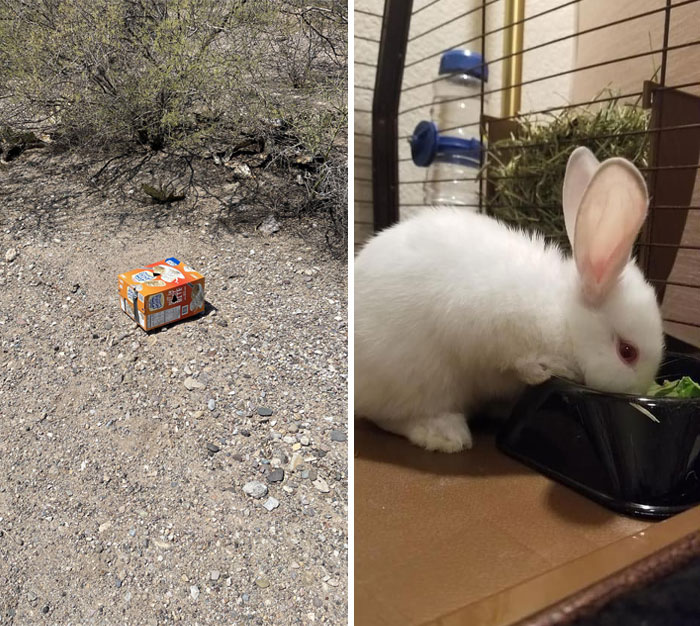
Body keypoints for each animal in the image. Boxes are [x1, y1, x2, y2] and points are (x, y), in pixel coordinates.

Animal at [354, 146, 664, 453]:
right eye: (627, 351)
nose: (639, 391)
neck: (565, 319)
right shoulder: (491, 323)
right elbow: (514, 359)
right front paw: (545, 370)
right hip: (415, 379)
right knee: (393, 417)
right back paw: (444, 433)